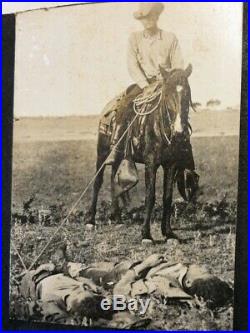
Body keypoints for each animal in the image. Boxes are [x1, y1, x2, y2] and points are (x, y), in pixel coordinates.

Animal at [86, 63, 195, 243]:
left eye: (187, 92)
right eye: (167, 93)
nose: (180, 131)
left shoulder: (171, 165)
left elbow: (167, 197)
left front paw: (168, 233)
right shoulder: (151, 163)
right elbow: (150, 196)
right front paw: (146, 235)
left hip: (118, 156)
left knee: (113, 179)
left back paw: (117, 217)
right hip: (101, 152)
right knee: (97, 182)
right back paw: (90, 220)